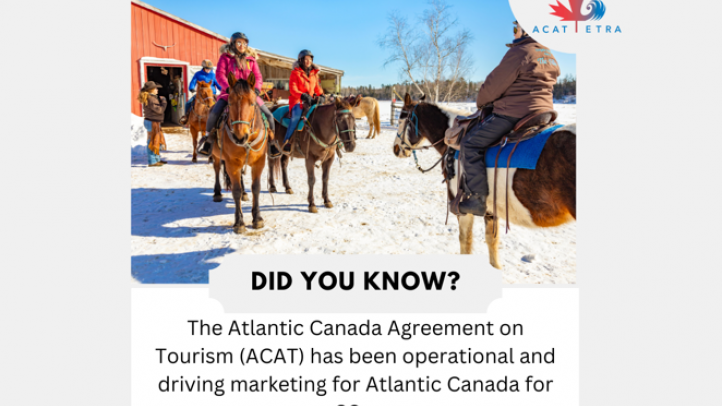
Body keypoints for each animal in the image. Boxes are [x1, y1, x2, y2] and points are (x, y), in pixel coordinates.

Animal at [212, 71, 274, 233]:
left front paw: (257, 218)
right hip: (216, 156)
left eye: (252, 103)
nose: (240, 137)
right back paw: (217, 193)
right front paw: (239, 222)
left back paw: (245, 194)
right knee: (217, 170)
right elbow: (235, 191)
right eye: (230, 103)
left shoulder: (259, 163)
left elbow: (256, 188)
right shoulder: (231, 164)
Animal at [390, 93, 576, 270]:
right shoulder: (491, 209)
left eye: (401, 119)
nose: (396, 149)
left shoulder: (461, 208)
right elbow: (492, 241)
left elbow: (465, 242)